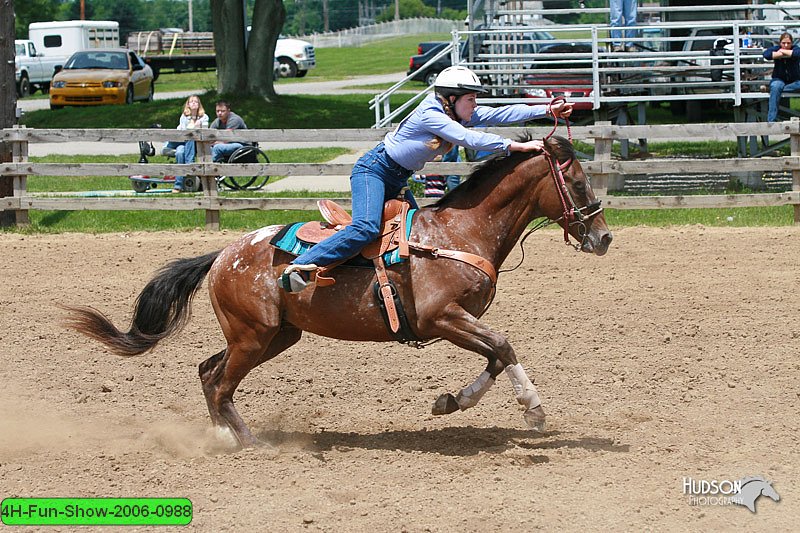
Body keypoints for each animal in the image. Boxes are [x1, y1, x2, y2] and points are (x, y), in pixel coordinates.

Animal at [64, 135, 612, 446]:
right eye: (577, 184)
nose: (604, 237)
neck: (457, 233)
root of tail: (222, 255)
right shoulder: (441, 317)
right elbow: (503, 345)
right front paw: (534, 410)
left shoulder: (457, 321)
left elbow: (495, 356)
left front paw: (450, 402)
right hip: (252, 337)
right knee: (219, 383)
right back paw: (248, 442)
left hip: (271, 336)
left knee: (208, 372)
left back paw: (223, 433)